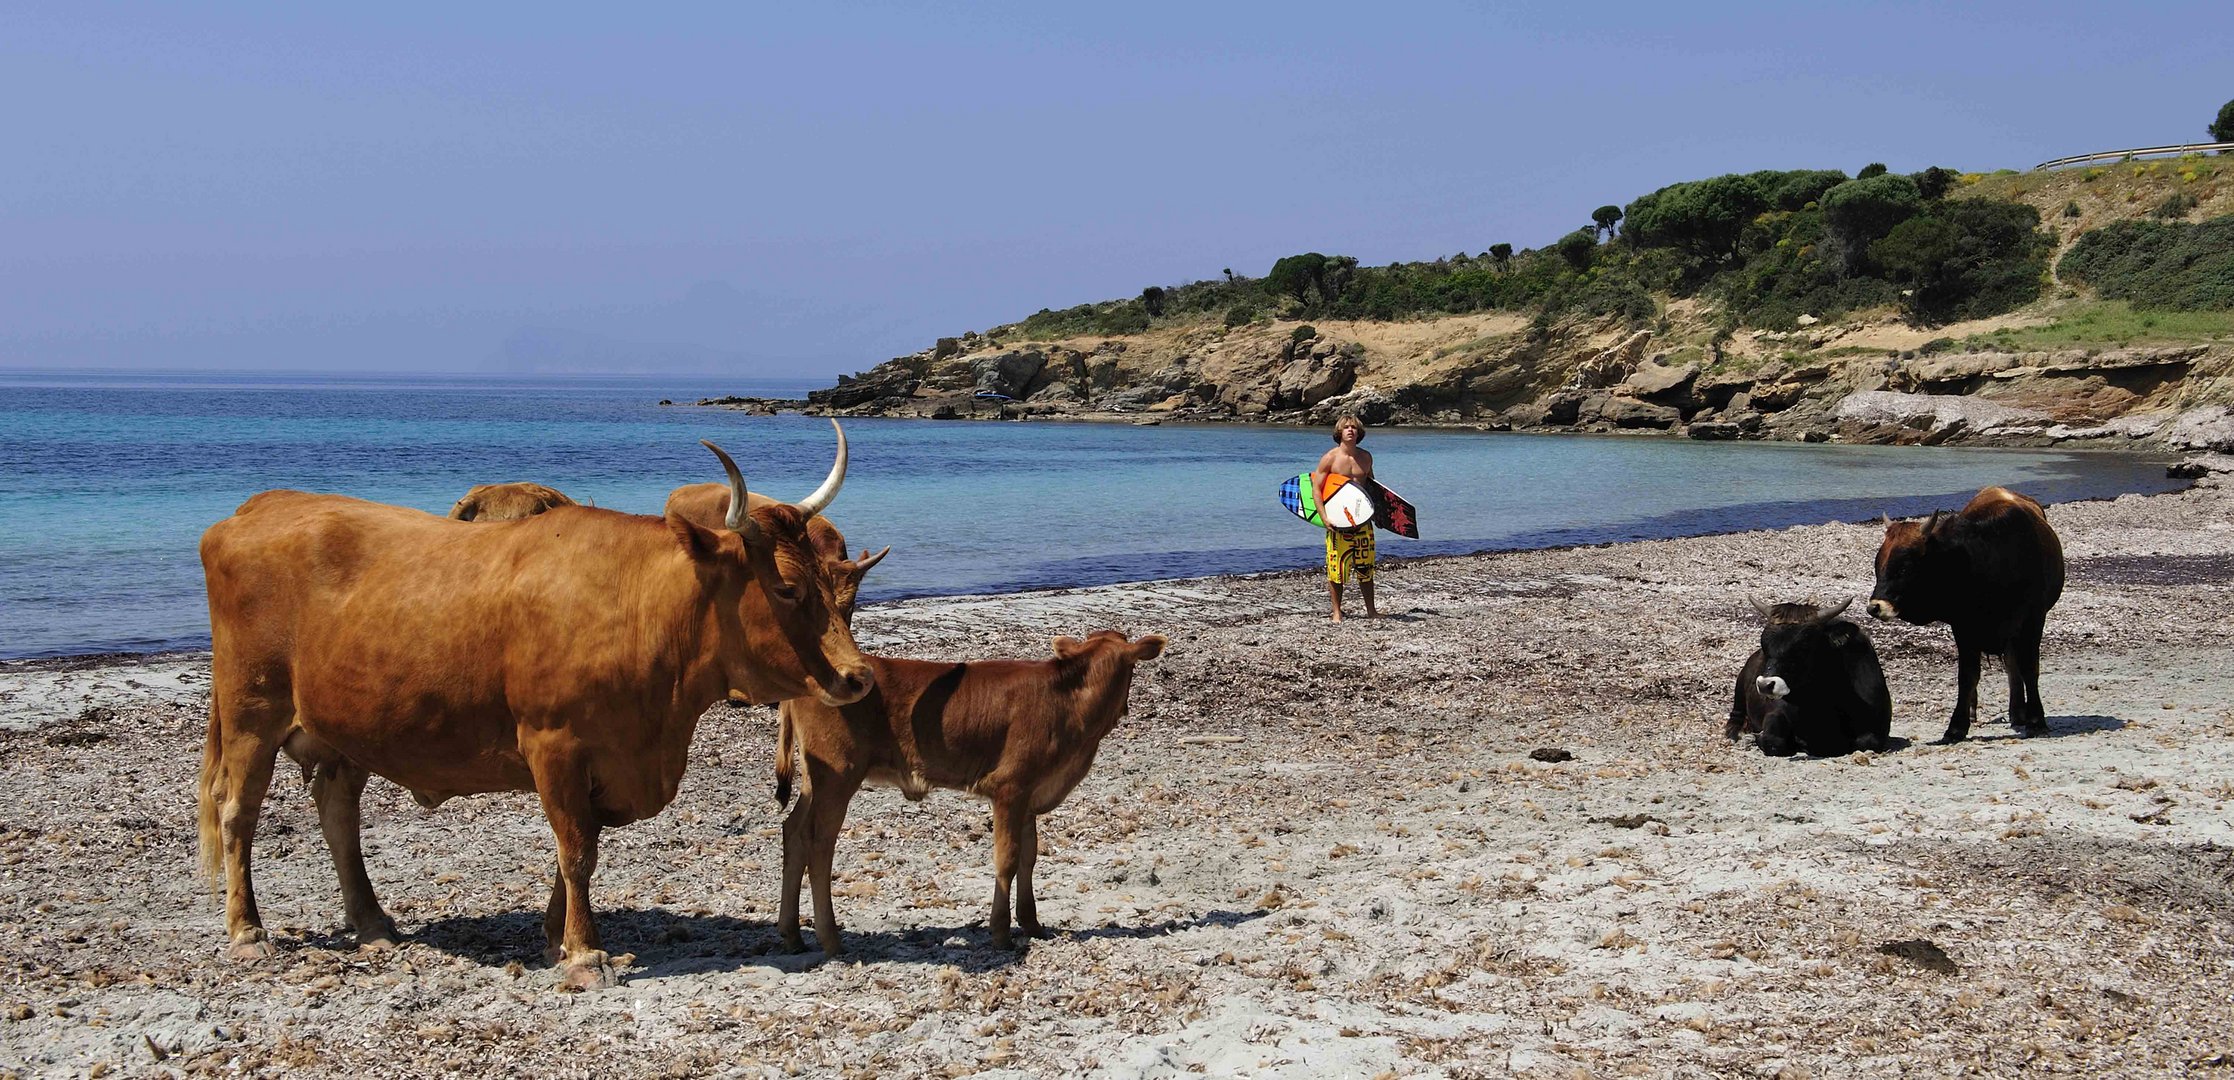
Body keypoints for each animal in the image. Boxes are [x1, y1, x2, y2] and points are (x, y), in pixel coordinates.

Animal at [777, 635, 1170, 957]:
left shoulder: (1030, 796)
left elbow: (1029, 856)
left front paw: (1031, 923)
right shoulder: (1010, 788)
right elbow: (1007, 859)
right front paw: (1001, 933)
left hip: (816, 780)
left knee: (793, 831)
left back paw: (792, 934)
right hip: (838, 775)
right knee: (819, 844)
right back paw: (830, 939)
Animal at [1724, 599, 1885, 760]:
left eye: (1803, 647)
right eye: (1765, 645)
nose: (1765, 685)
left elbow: (1868, 741)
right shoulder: (1774, 713)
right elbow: (1773, 742)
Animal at [1858, 487, 2064, 742]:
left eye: (1905, 567)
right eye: (1878, 566)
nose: (1874, 607)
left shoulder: (2033, 619)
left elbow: (2029, 668)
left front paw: (2036, 720)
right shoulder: (1964, 626)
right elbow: (1967, 676)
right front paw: (1957, 726)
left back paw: (2019, 712)